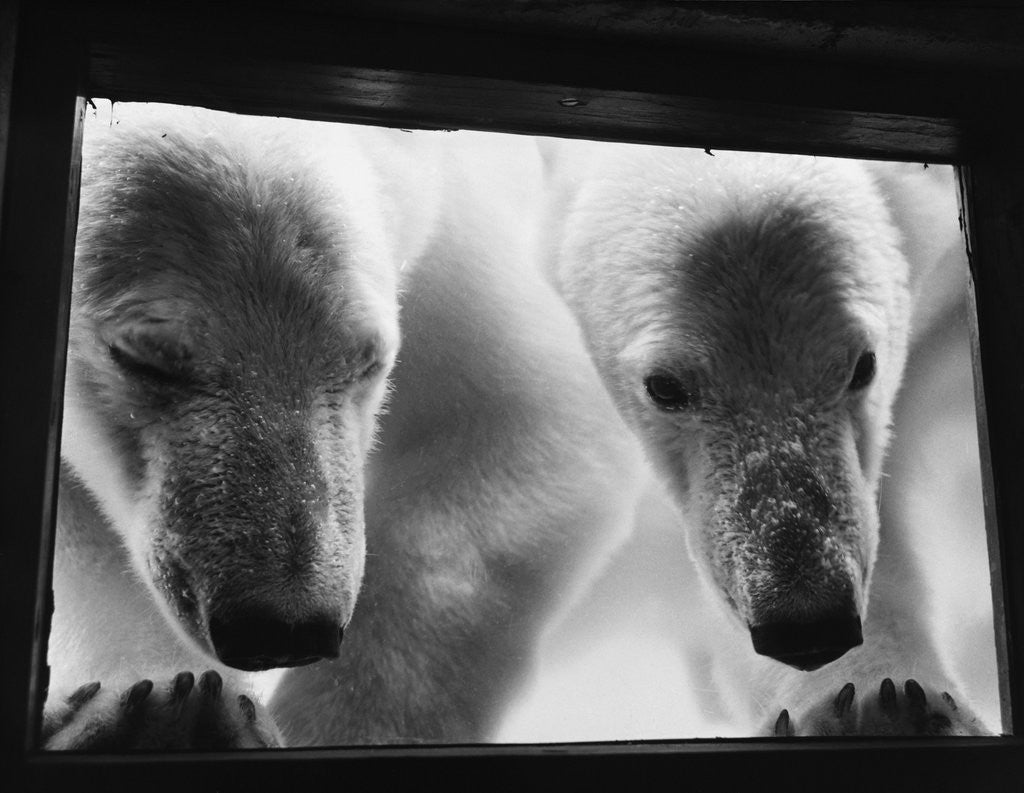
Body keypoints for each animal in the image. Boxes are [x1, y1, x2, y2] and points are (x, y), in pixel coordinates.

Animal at [44, 103, 643, 748]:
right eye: (140, 358)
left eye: (367, 359)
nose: (283, 628)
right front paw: (165, 710)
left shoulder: (443, 234)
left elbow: (525, 413)